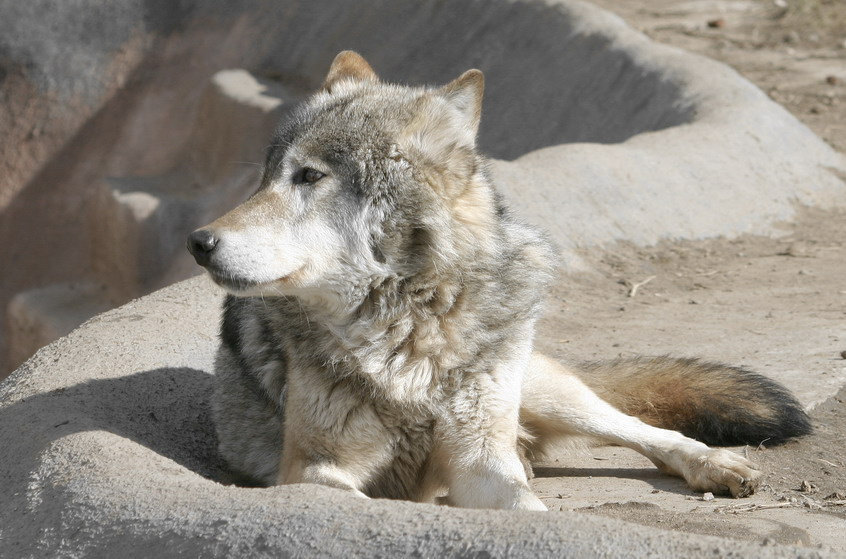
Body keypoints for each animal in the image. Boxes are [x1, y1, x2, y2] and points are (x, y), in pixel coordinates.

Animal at [187, 51, 811, 510]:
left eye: (309, 176)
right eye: (264, 179)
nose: (198, 242)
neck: (409, 334)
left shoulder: (479, 464)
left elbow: (525, 506)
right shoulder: (314, 472)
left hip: (543, 390)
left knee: (639, 428)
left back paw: (714, 464)